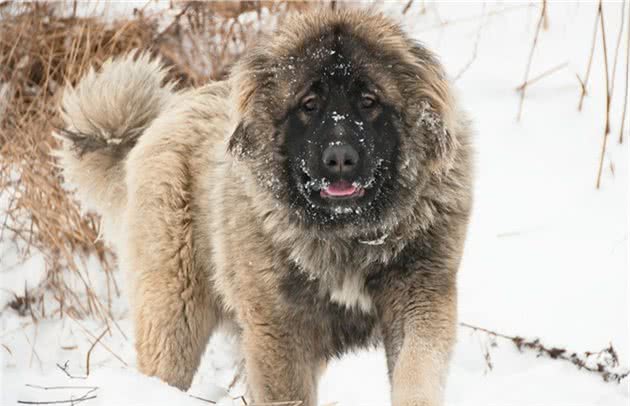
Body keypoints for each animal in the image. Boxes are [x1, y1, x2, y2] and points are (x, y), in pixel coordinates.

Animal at [56, 7, 474, 406]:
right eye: (309, 104)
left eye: (368, 101)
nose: (340, 158)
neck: (346, 237)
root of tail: (160, 120)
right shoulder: (278, 329)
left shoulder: (419, 298)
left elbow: (416, 372)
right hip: (174, 314)